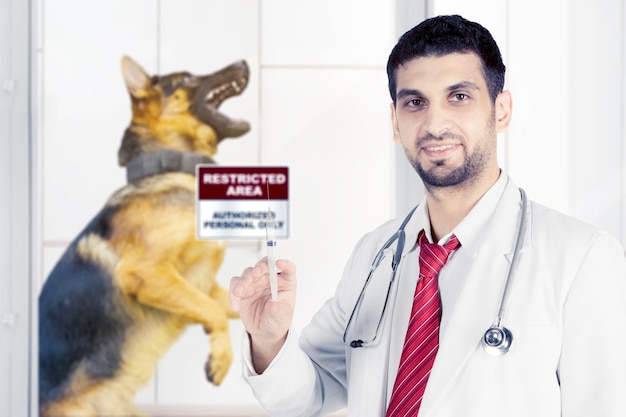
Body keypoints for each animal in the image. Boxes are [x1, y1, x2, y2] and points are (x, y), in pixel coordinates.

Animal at [38, 56, 249, 416]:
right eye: (186, 78)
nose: (243, 61)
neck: (172, 167)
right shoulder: (149, 274)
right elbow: (214, 311)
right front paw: (221, 358)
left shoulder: (204, 285)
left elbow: (226, 305)